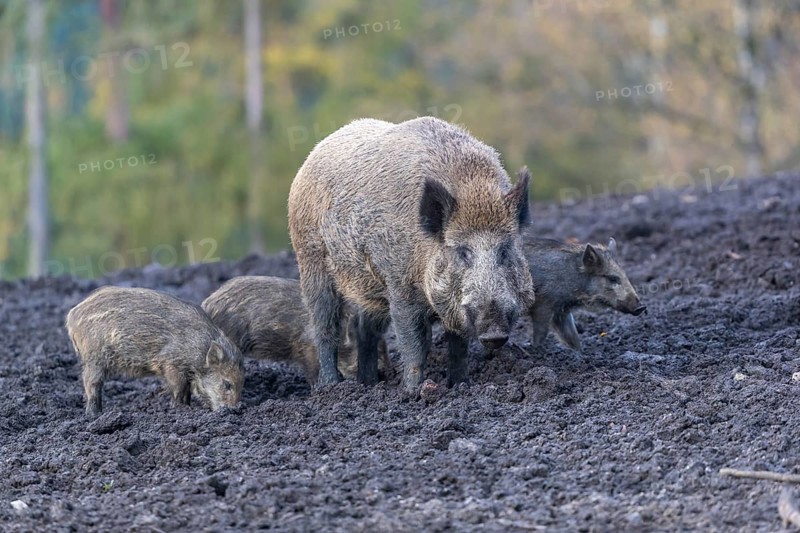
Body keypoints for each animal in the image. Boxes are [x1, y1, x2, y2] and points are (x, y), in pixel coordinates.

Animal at [65, 286, 244, 416]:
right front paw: (179, 409)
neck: (199, 350)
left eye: (241, 383)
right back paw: (94, 415)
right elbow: (179, 388)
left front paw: (186, 407)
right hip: (94, 357)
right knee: (91, 383)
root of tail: (72, 315)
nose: (234, 410)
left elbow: (186, 390)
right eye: (227, 383)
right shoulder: (170, 364)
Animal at [288, 117, 535, 393]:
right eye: (462, 251)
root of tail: (310, 158)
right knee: (325, 325)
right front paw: (413, 392)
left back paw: (369, 384)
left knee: (364, 329)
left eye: (504, 249)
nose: (494, 333)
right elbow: (414, 345)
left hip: (368, 286)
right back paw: (332, 386)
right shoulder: (399, 287)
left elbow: (458, 347)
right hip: (310, 259)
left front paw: (460, 385)